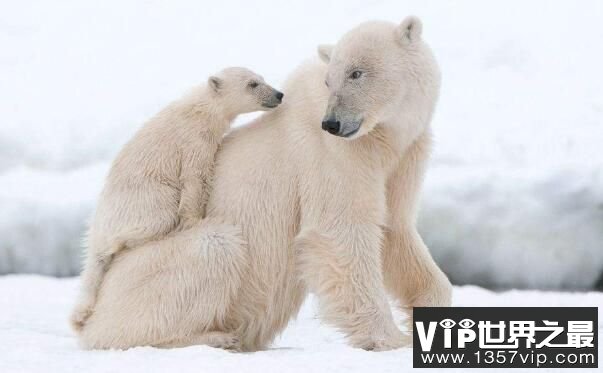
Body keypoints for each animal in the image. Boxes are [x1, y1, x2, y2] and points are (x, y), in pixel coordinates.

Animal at [70, 67, 284, 332]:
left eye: (262, 79)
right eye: (252, 84)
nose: (278, 94)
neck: (201, 108)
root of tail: (97, 227)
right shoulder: (193, 141)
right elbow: (194, 178)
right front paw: (194, 221)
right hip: (143, 200)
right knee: (153, 219)